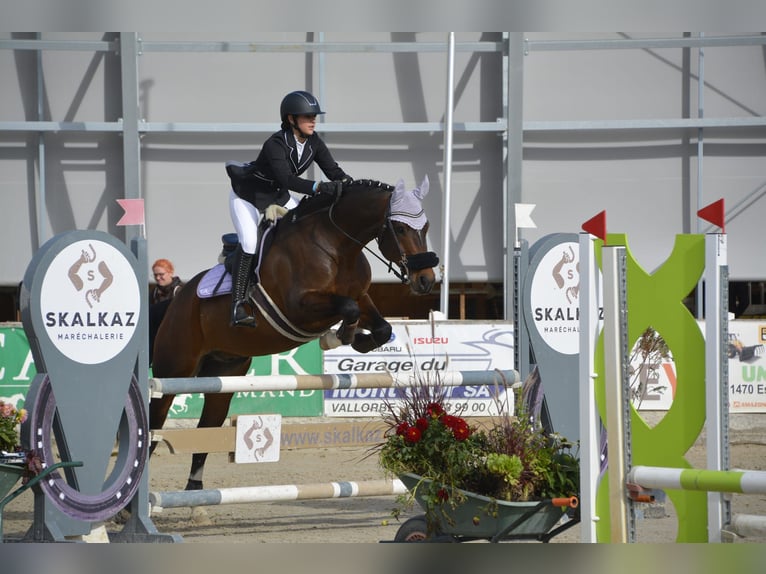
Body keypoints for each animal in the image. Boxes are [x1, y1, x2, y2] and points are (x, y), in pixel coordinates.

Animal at [152, 177, 438, 496]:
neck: (338, 247)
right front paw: (336, 337)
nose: (426, 281)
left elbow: (381, 326)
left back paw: (195, 490)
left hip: (225, 371)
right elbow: (347, 309)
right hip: (174, 368)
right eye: (399, 228)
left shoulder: (360, 297)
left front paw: (354, 339)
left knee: (208, 425)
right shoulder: (300, 307)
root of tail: (178, 297)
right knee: (155, 419)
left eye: (425, 227)